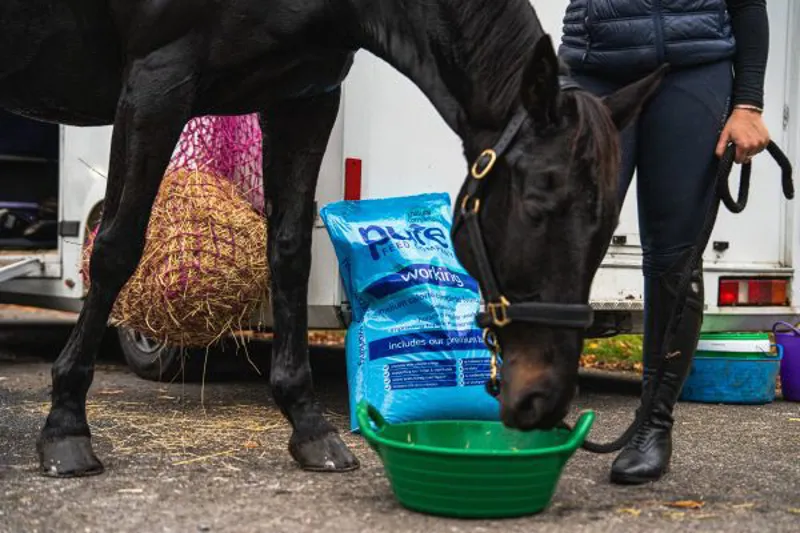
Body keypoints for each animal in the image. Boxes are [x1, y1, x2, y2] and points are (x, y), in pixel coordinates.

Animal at [0, 0, 666, 477]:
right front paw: (65, 427)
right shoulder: (156, 81)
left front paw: (309, 426)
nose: (543, 398)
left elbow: (291, 250)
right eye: (536, 207)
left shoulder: (305, 96)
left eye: (606, 225)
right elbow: (117, 246)